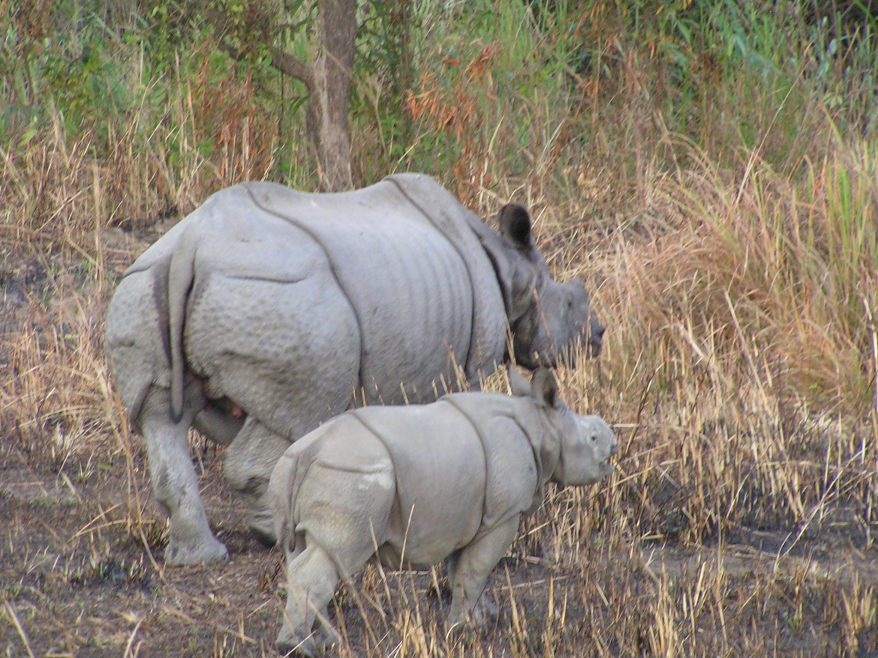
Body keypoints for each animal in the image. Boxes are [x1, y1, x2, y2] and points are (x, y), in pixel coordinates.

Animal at [105, 174, 605, 566]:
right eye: (569, 305)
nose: (598, 336)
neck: (512, 271)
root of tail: (189, 249)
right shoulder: (472, 360)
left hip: (146, 287)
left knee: (159, 417)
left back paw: (202, 558)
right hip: (283, 299)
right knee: (292, 415)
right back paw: (274, 537)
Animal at [268, 367, 617, 655]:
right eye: (593, 438)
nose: (613, 443)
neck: (542, 423)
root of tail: (308, 451)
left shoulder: (467, 513)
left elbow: (461, 569)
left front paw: (483, 617)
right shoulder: (503, 516)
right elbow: (476, 570)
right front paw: (465, 629)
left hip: (292, 470)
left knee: (300, 550)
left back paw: (323, 641)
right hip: (351, 475)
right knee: (335, 553)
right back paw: (299, 647)